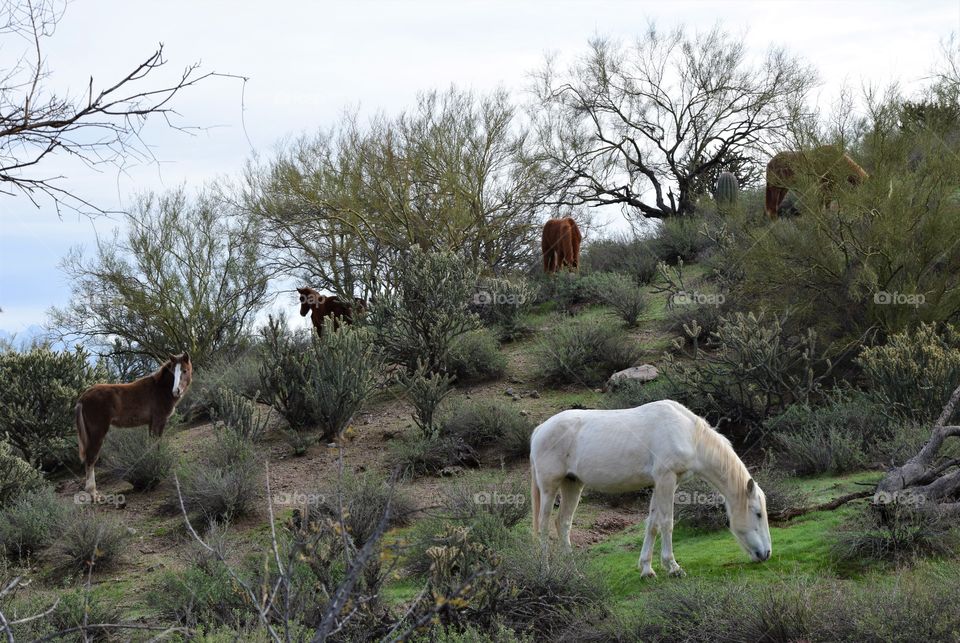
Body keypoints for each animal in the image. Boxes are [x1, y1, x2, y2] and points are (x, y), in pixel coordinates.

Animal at [75, 353, 192, 499]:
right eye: (173, 372)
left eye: (184, 370)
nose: (176, 391)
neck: (159, 389)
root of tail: (83, 397)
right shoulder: (159, 421)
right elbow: (156, 445)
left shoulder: (152, 423)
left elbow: (152, 445)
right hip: (98, 432)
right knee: (91, 458)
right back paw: (93, 493)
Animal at [529, 400, 771, 577]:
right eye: (758, 513)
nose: (766, 553)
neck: (688, 433)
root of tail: (540, 429)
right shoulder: (666, 480)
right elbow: (666, 522)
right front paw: (673, 567)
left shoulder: (660, 483)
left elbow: (652, 524)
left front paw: (647, 569)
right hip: (550, 487)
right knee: (544, 525)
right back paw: (545, 571)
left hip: (572, 484)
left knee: (563, 524)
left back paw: (574, 573)